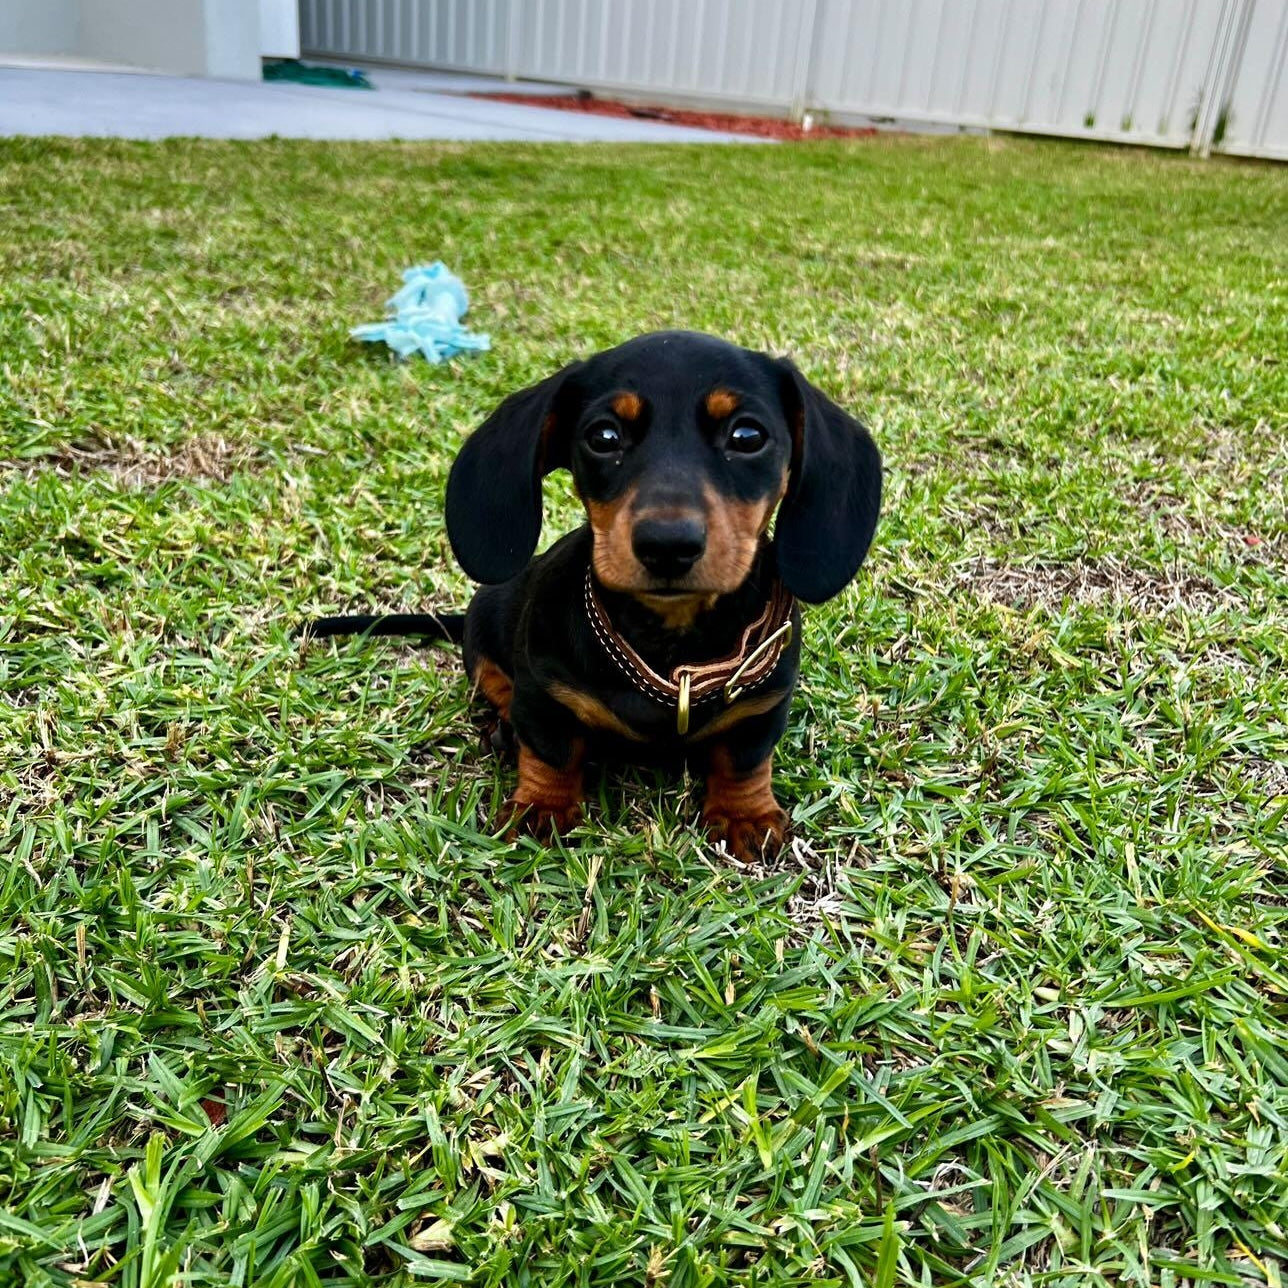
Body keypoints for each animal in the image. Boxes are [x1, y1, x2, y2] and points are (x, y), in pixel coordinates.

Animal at [309, 332, 886, 860]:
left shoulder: (763, 705)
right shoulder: (544, 691)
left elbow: (745, 759)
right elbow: (551, 750)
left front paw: (746, 814)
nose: (667, 545)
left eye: (748, 435)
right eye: (603, 436)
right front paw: (541, 806)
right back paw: (501, 729)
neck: (668, 648)